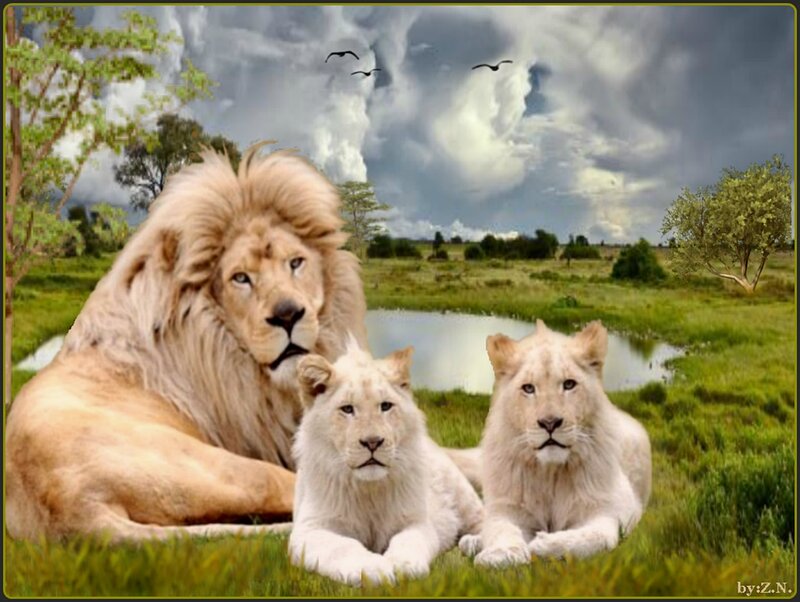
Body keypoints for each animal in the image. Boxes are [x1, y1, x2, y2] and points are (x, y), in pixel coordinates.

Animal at [289, 340, 483, 586]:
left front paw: (403, 566)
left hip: (464, 497)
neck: (369, 490)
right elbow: (343, 547)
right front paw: (371, 568)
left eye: (385, 406)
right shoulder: (309, 529)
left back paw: (475, 543)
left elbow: (407, 541)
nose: (373, 442)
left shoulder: (416, 521)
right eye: (347, 409)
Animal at [459, 319, 652, 566]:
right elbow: (501, 529)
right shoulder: (508, 508)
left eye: (569, 384)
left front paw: (543, 544)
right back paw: (472, 541)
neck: (550, 474)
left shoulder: (610, 511)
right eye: (528, 388)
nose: (549, 423)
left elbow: (596, 538)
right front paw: (501, 554)